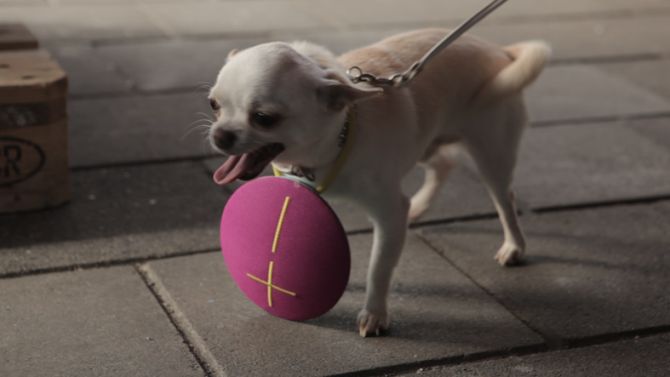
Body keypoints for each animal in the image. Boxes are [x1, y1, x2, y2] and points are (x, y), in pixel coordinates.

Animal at [210, 28, 552, 334]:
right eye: (213, 105)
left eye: (264, 118)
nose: (219, 135)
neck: (342, 134)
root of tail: (499, 51)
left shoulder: (388, 211)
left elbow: (379, 267)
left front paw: (374, 314)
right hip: (425, 142)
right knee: (444, 164)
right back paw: (418, 207)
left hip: (491, 155)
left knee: (504, 198)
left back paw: (514, 246)